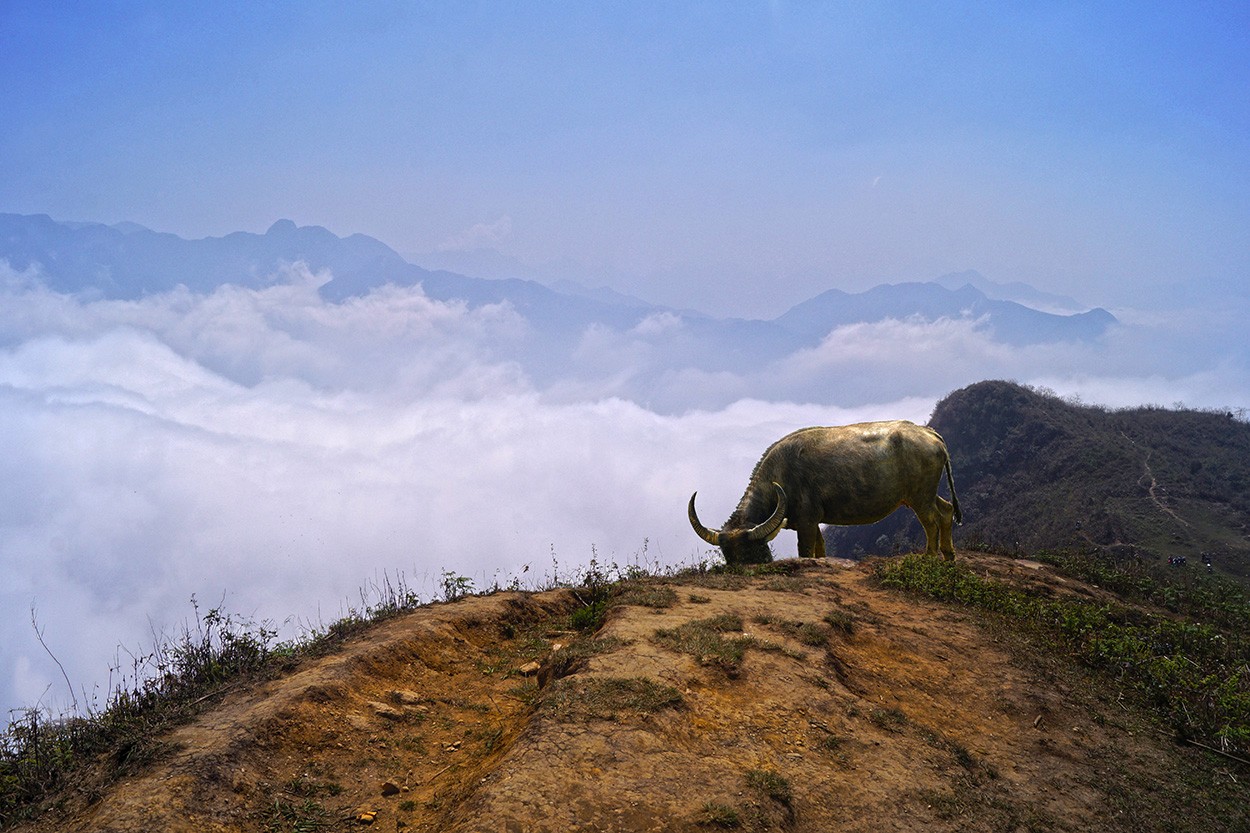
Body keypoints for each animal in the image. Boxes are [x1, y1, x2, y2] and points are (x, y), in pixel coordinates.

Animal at [690, 422, 960, 565]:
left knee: (931, 521)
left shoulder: (807, 522)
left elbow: (806, 550)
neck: (781, 475)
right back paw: (948, 556)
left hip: (920, 496)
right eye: (729, 557)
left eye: (754, 551)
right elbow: (820, 549)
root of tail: (930, 434)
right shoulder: (812, 522)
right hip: (923, 494)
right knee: (946, 510)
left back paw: (929, 557)